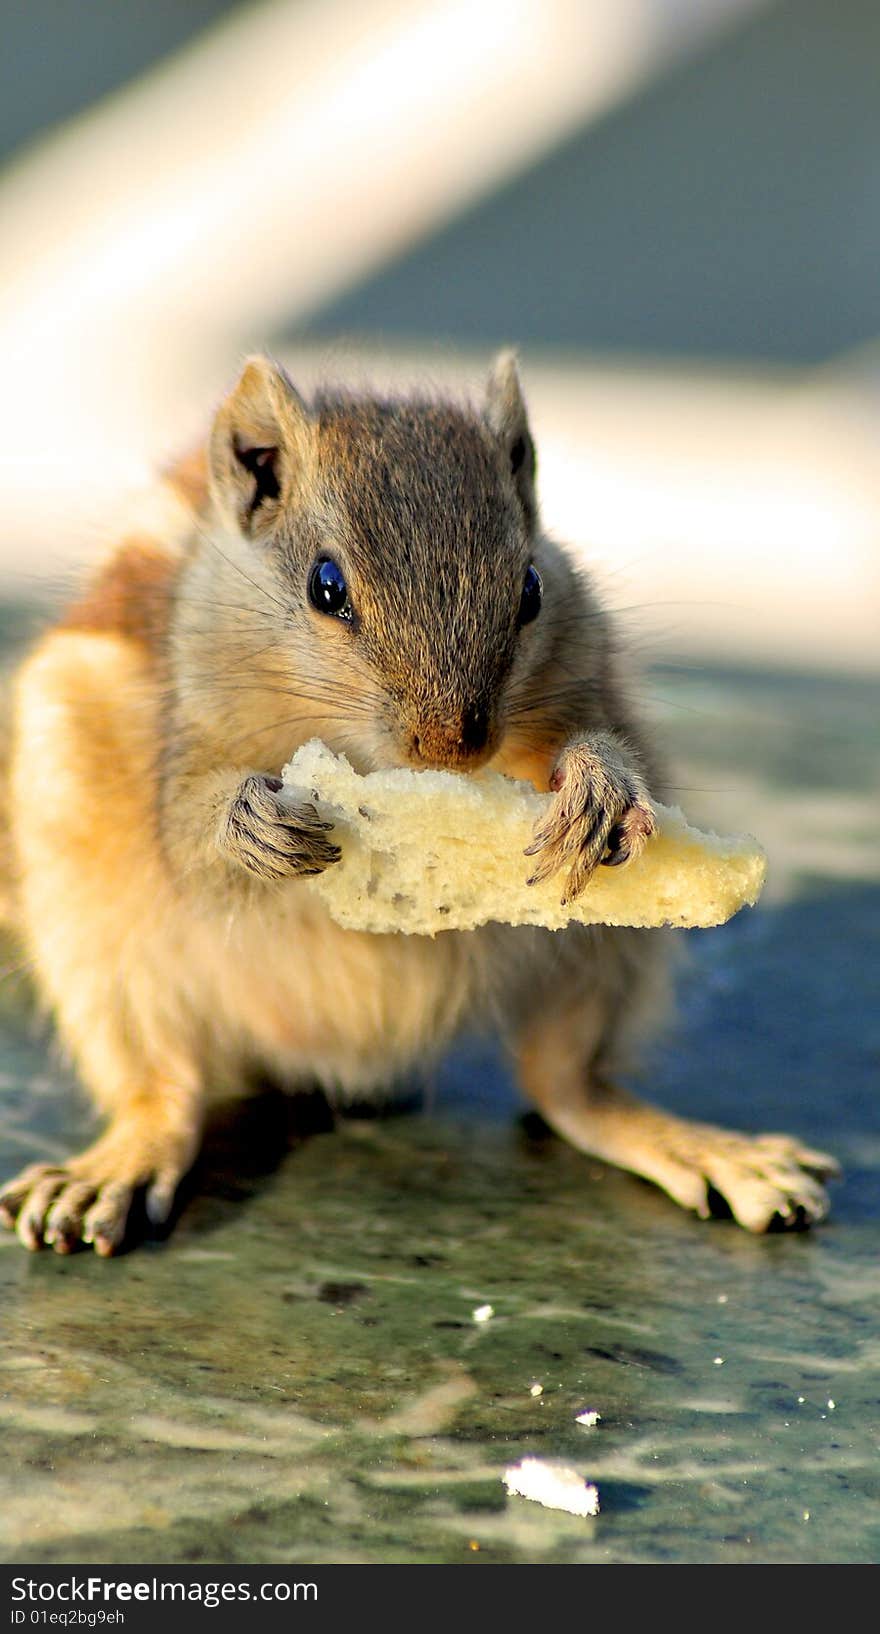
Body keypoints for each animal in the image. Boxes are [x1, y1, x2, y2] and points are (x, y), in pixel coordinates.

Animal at [0, 354, 835, 1248]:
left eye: (531, 588)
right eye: (325, 585)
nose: (450, 747)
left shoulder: (584, 673)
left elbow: (598, 738)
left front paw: (598, 782)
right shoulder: (183, 726)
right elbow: (190, 827)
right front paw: (249, 823)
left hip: (603, 953)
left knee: (565, 1087)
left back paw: (698, 1147)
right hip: (100, 952)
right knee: (162, 1089)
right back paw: (114, 1166)